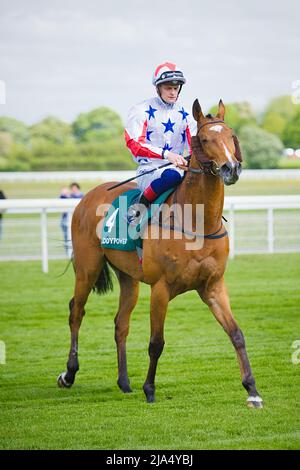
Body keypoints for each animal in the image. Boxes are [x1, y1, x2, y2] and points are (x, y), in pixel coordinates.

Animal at [57, 99, 264, 408]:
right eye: (205, 139)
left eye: (231, 136)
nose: (232, 168)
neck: (196, 222)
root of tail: (89, 195)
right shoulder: (161, 288)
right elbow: (157, 343)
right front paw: (150, 389)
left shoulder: (213, 286)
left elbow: (236, 333)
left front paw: (252, 390)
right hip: (87, 267)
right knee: (76, 312)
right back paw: (69, 374)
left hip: (128, 277)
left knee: (120, 323)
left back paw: (124, 382)